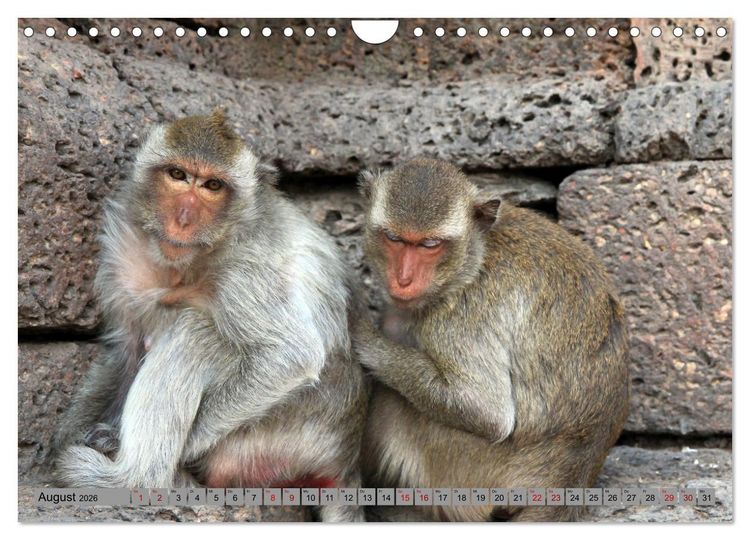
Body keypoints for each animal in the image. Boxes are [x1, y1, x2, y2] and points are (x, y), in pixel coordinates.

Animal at [50, 110, 367, 522]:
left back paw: (135, 478)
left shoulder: (246, 267)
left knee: (196, 332)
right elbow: (125, 347)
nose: (183, 218)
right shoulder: (123, 248)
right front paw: (70, 431)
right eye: (178, 175)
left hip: (275, 439)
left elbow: (290, 356)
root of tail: (344, 457)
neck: (187, 264)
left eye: (212, 185)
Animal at [353, 158, 629, 522]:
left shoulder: (464, 314)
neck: (475, 257)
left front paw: (365, 341)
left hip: (467, 473)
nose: (404, 279)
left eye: (430, 245)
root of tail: (570, 480)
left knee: (395, 401)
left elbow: (487, 412)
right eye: (394, 239)